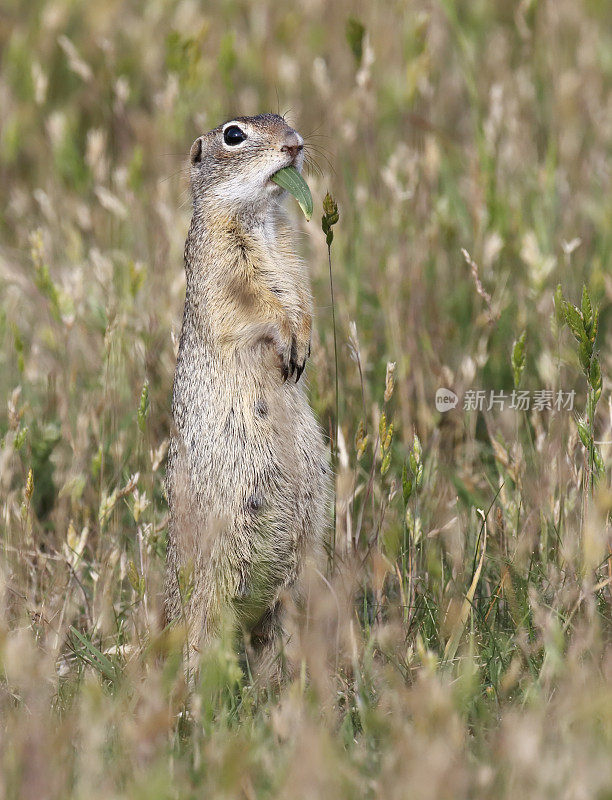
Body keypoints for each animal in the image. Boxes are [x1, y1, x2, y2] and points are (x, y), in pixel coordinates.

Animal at [164, 112, 330, 680]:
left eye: (283, 118)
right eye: (233, 135)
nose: (296, 144)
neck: (260, 216)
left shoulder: (292, 255)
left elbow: (302, 294)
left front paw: (304, 342)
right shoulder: (224, 261)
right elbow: (256, 302)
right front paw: (289, 339)